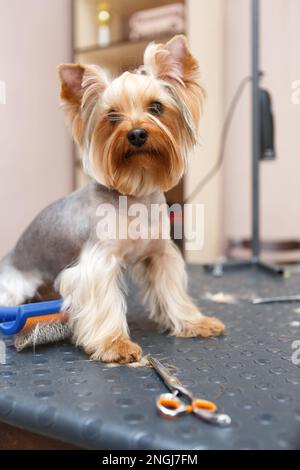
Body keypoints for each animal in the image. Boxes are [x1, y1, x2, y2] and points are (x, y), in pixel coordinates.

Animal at [0, 35, 225, 362]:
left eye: (156, 107)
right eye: (112, 116)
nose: (136, 134)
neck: (134, 192)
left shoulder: (160, 255)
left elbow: (172, 290)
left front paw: (193, 322)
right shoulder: (97, 262)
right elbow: (103, 302)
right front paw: (114, 344)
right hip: (14, 288)